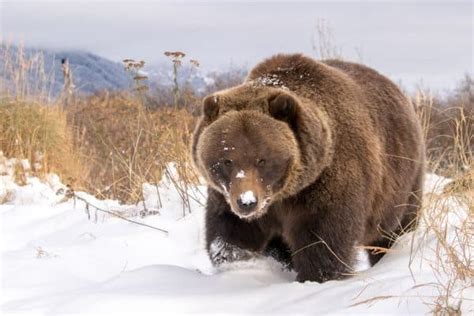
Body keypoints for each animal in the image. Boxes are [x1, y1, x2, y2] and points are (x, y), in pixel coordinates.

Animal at [191, 53, 424, 282]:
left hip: (401, 182)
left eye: (262, 159)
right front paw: (239, 265)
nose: (247, 202)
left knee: (395, 229)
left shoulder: (325, 184)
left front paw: (316, 276)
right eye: (227, 160)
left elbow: (323, 240)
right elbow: (231, 232)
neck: (283, 194)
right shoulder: (227, 195)